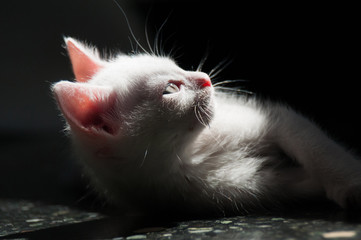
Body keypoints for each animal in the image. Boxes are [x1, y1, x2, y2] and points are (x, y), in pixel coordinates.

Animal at [52, 38, 360, 216]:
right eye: (170, 90)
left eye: (176, 64)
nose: (205, 78)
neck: (189, 153)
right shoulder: (243, 189)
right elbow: (300, 183)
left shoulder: (272, 118)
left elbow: (314, 146)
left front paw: (348, 182)